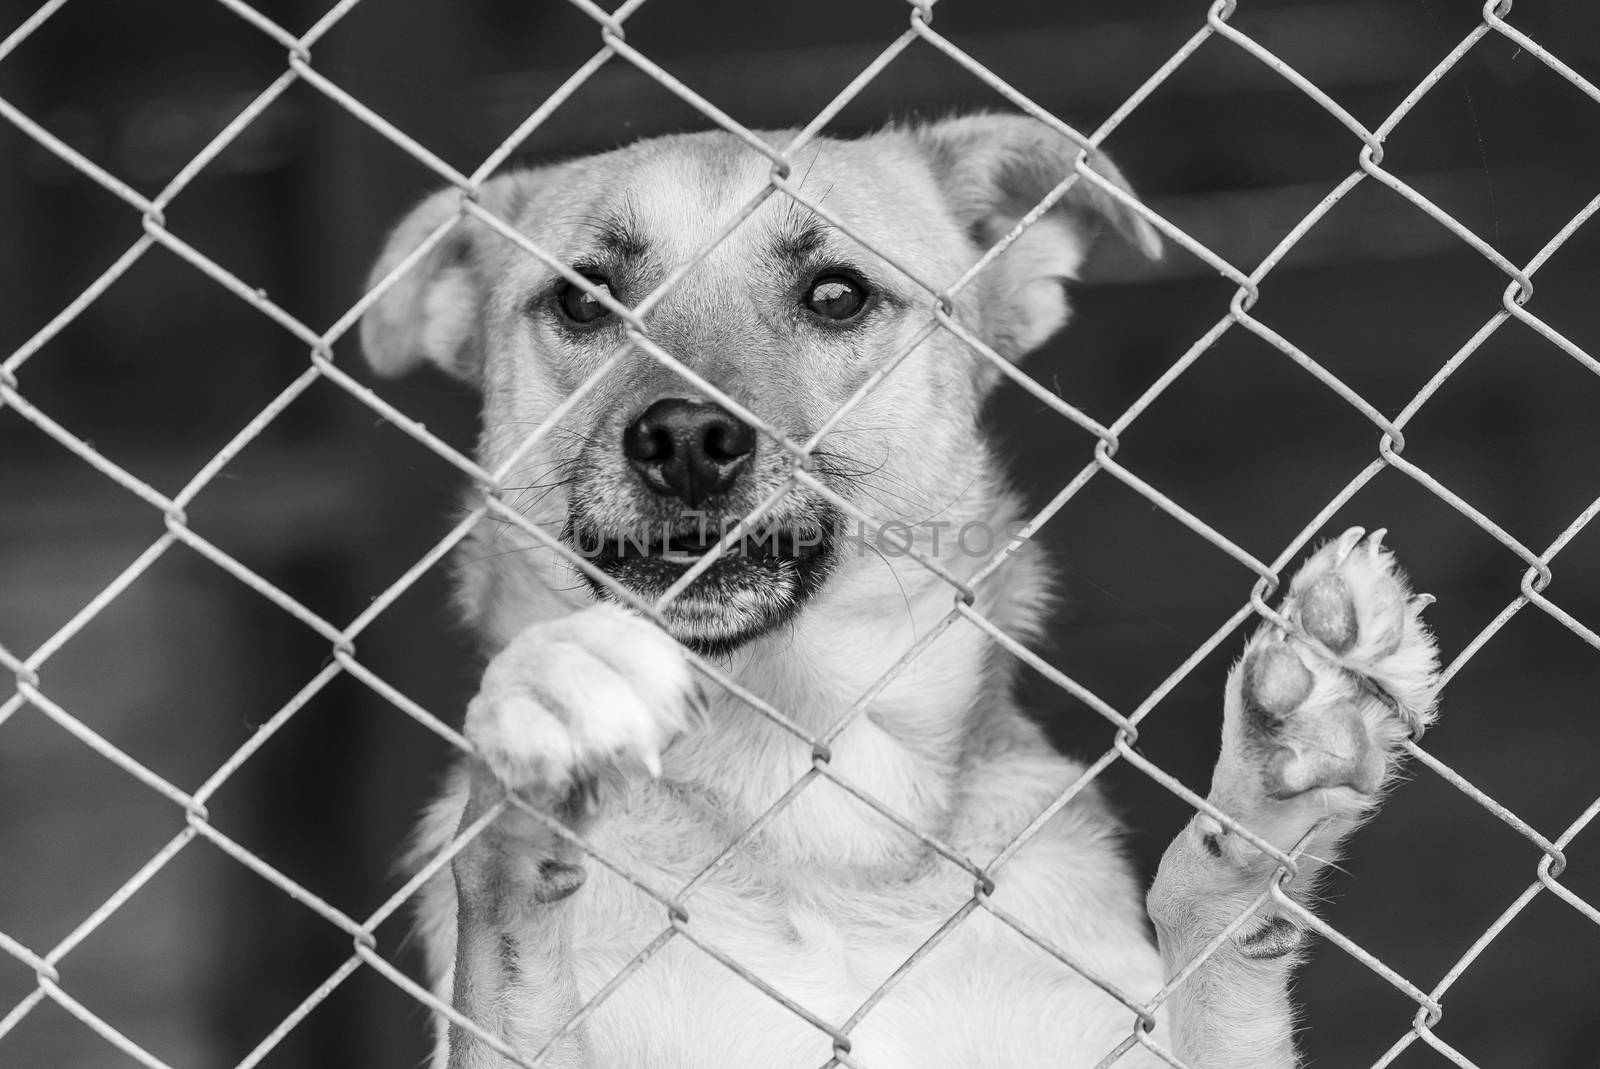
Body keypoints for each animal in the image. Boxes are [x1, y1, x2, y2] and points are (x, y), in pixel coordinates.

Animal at [360, 112, 1440, 1062]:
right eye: (583, 302)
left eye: (837, 295)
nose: (684, 440)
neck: (807, 790)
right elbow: (498, 929)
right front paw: (538, 725)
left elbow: (1203, 913)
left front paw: (1283, 763)